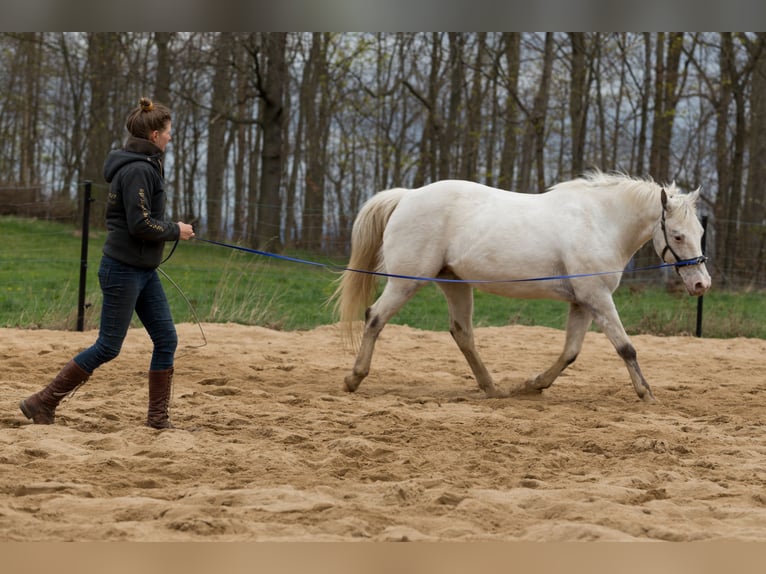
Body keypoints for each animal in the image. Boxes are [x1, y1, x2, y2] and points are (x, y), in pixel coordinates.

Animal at [332, 173, 712, 402]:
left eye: (700, 232)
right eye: (677, 235)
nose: (701, 284)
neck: (600, 222)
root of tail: (407, 196)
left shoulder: (583, 302)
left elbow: (571, 352)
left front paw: (533, 385)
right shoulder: (598, 298)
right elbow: (626, 348)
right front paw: (646, 393)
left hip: (455, 283)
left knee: (462, 333)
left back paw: (492, 388)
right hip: (406, 282)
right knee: (375, 317)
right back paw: (353, 379)